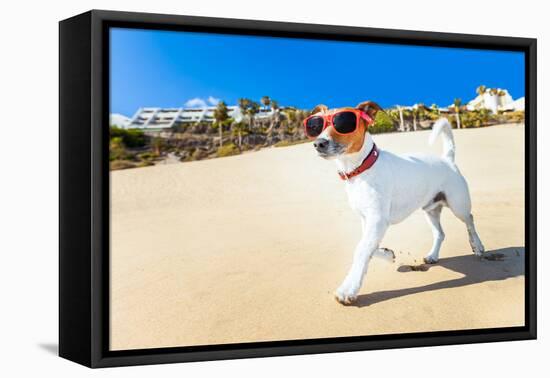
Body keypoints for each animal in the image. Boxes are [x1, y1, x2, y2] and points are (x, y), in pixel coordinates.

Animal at [308, 102, 486, 306]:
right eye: (316, 126)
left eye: (343, 123)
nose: (318, 143)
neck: (361, 168)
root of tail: (447, 159)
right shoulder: (368, 220)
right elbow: (369, 246)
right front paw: (387, 254)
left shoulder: (378, 220)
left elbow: (361, 249)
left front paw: (348, 288)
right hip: (431, 210)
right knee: (440, 233)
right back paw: (433, 256)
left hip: (458, 205)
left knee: (470, 220)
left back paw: (478, 246)